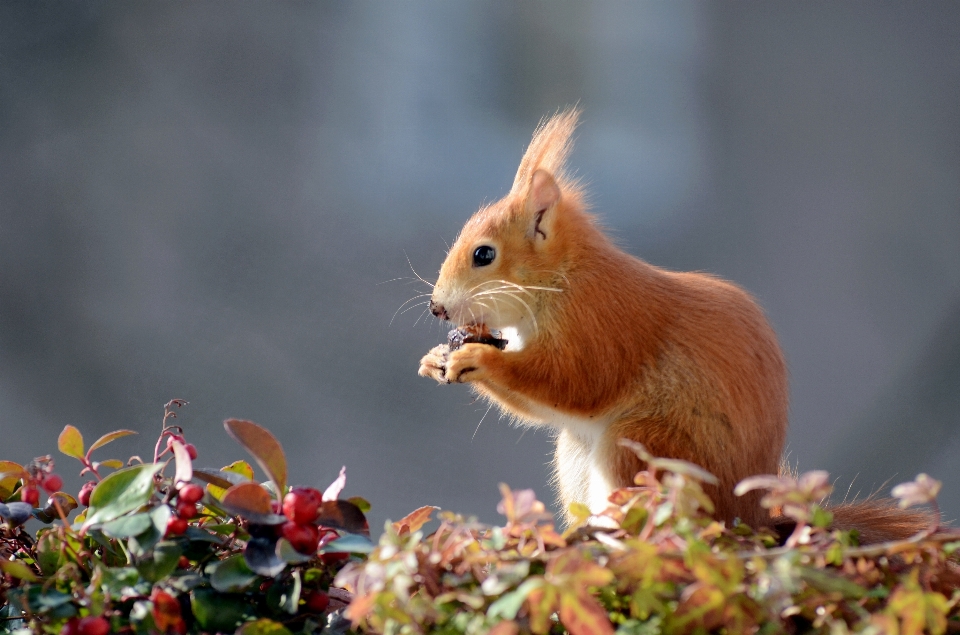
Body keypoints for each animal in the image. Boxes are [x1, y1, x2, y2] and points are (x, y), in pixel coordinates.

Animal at [416, 108, 932, 540]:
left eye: (484, 254)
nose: (437, 308)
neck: (562, 278)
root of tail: (749, 519)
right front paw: (435, 358)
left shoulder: (601, 323)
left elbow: (575, 382)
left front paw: (476, 359)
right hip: (579, 453)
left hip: (645, 448)